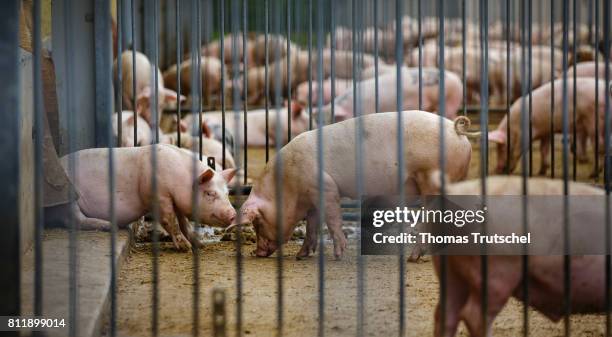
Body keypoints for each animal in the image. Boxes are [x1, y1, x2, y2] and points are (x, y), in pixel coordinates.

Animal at [44, 144, 237, 249]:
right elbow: (170, 220)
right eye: (210, 193)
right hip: (68, 197)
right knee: (73, 219)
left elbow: (183, 222)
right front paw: (185, 248)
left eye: (227, 193)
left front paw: (199, 244)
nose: (233, 214)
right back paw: (110, 226)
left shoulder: (175, 200)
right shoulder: (157, 195)